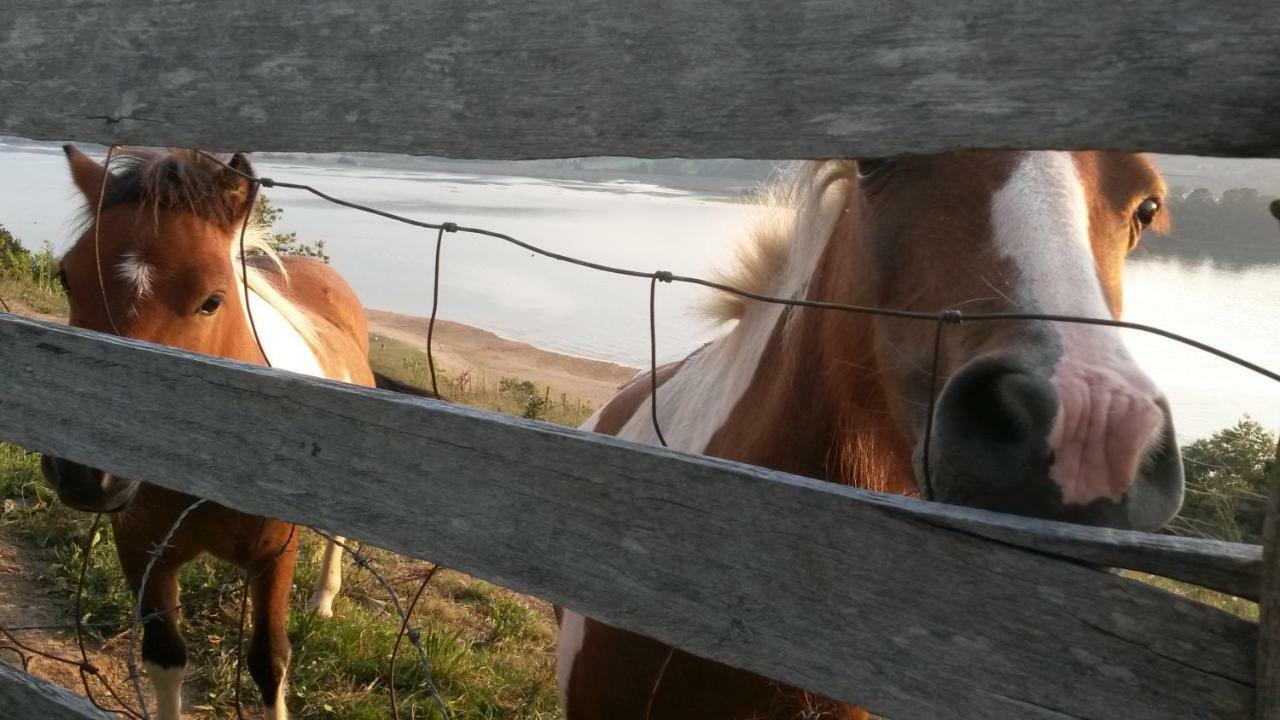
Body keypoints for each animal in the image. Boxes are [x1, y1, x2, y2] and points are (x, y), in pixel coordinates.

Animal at [38, 147, 371, 717]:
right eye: (67, 277)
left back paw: (324, 598)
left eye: (212, 300)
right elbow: (165, 657)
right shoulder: (141, 551)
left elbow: (269, 663)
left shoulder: (275, 559)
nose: (85, 472)